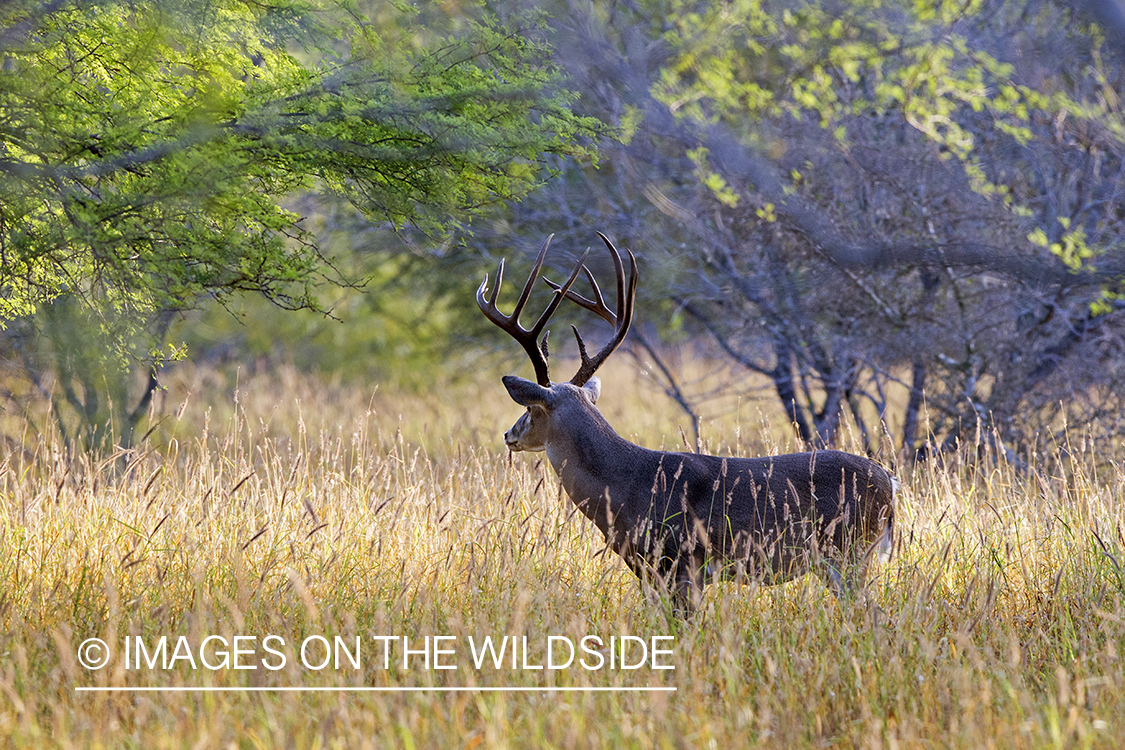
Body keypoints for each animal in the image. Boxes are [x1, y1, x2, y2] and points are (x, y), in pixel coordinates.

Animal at [474, 235, 895, 616]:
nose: (509, 435)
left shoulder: (680, 563)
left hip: (848, 553)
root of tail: (891, 483)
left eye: (531, 408)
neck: (626, 484)